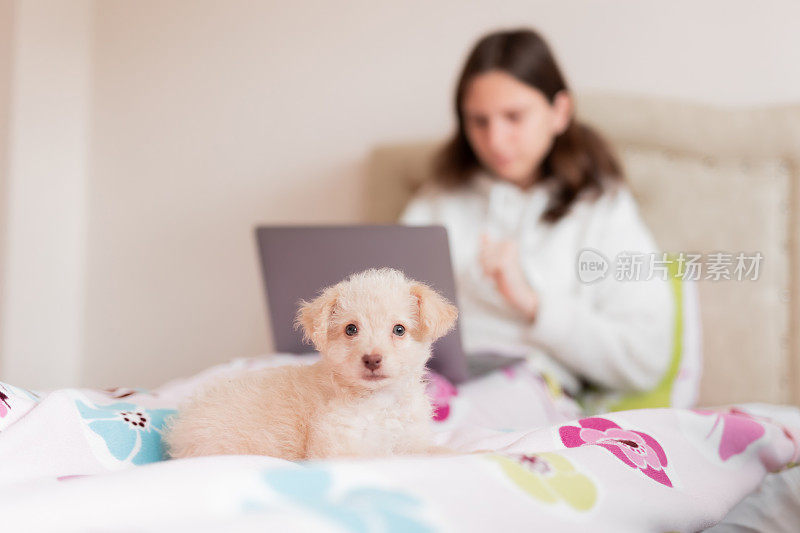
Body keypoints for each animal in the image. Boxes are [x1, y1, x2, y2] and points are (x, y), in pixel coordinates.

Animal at [164, 268, 456, 460]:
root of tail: (179, 432)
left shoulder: (414, 443)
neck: (380, 402)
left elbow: (435, 452)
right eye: (351, 329)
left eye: (399, 329)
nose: (372, 359)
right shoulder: (339, 449)